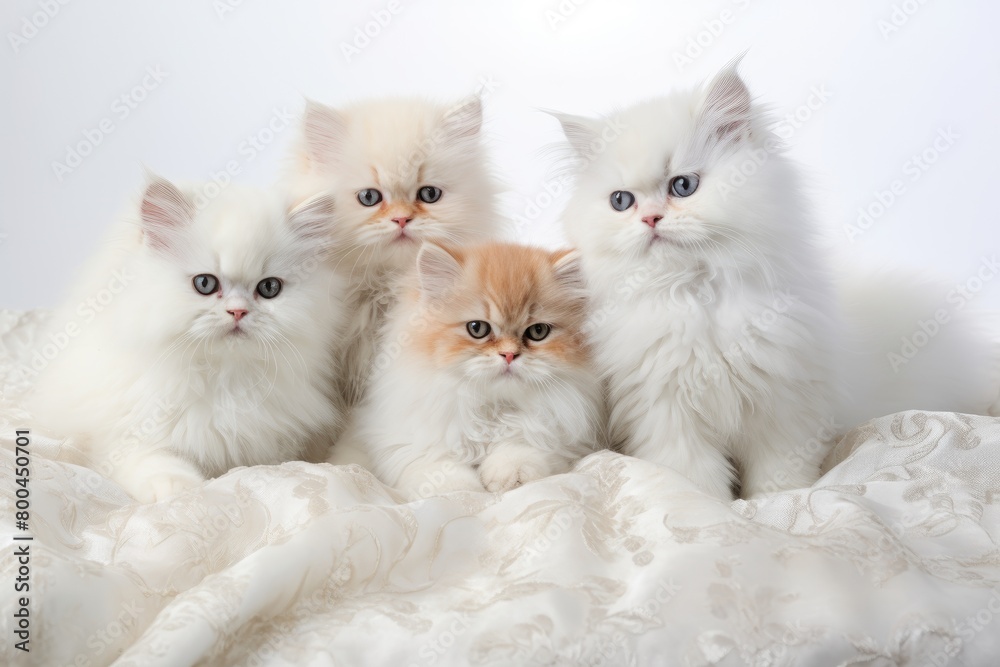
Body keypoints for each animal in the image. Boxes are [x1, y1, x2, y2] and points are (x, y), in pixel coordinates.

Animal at [30, 176, 348, 500]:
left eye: (269, 288)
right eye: (205, 284)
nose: (238, 311)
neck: (224, 380)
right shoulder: (127, 435)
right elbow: (157, 462)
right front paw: (180, 490)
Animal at [332, 243, 604, 498]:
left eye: (538, 332)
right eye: (477, 328)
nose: (509, 355)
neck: (492, 409)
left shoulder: (556, 436)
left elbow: (520, 448)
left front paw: (508, 476)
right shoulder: (406, 440)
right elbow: (437, 468)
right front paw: (458, 490)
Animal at [560, 64, 996, 500]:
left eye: (683, 185)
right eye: (621, 201)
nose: (649, 219)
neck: (697, 294)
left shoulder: (784, 406)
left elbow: (778, 476)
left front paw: (775, 501)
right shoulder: (666, 413)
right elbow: (694, 479)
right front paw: (713, 504)